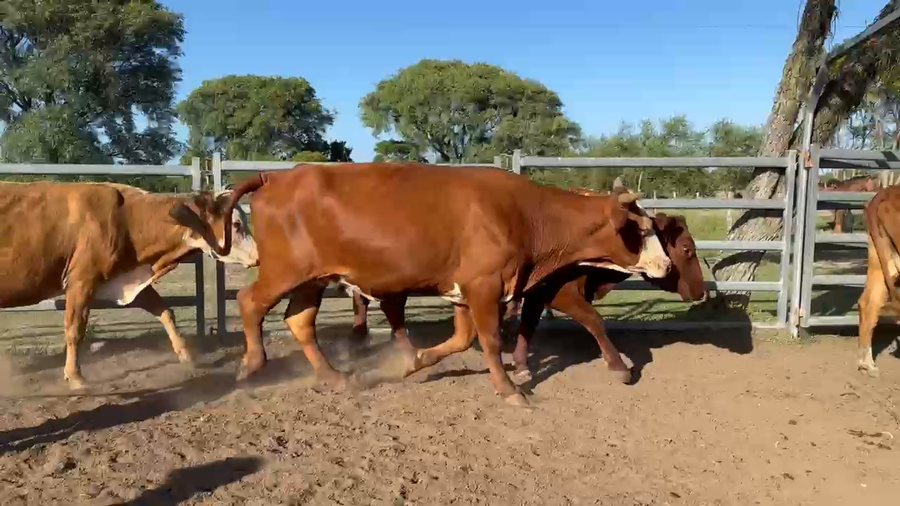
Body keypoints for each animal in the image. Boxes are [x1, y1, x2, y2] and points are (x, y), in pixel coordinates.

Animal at [0, 181, 259, 390]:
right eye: (236, 224)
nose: (257, 257)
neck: (125, 219)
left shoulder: (132, 280)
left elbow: (165, 311)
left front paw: (186, 354)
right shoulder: (81, 281)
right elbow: (74, 330)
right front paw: (75, 377)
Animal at [177, 162, 672, 405]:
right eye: (639, 230)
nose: (666, 265)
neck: (524, 213)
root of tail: (275, 176)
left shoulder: (464, 292)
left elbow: (462, 339)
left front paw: (414, 361)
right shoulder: (483, 286)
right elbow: (490, 341)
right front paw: (511, 391)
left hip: (313, 279)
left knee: (300, 321)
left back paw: (336, 378)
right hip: (286, 270)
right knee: (249, 301)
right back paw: (252, 363)